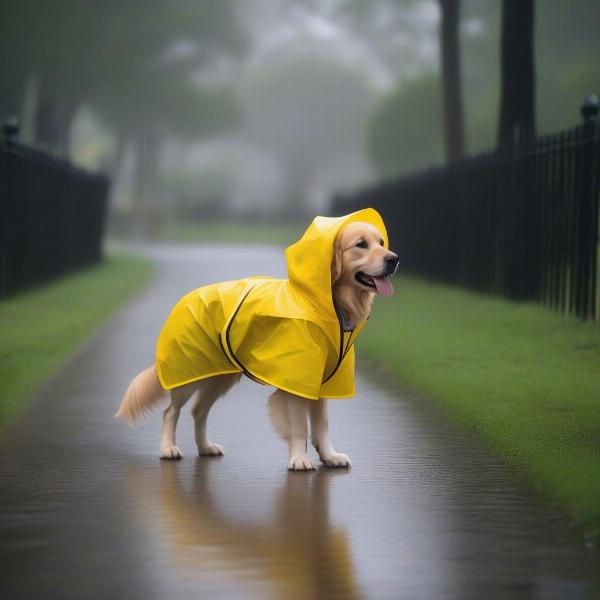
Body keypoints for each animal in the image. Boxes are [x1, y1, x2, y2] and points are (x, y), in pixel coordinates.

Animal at [117, 209, 398, 472]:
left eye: (381, 242)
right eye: (361, 244)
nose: (393, 259)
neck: (324, 305)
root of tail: (186, 298)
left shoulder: (321, 381)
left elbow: (322, 424)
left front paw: (329, 455)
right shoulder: (295, 381)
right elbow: (299, 426)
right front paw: (299, 458)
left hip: (219, 377)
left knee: (198, 411)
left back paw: (205, 447)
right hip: (188, 374)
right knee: (170, 411)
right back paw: (168, 448)